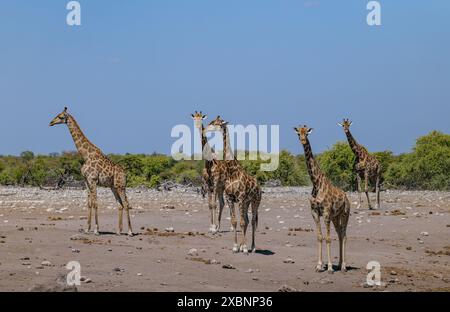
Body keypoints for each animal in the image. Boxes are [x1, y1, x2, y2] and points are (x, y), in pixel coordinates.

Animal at [50, 108, 134, 236]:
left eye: (60, 117)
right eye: (57, 115)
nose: (51, 122)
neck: (85, 155)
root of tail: (125, 173)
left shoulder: (93, 180)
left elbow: (95, 203)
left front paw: (96, 230)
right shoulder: (86, 180)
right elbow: (89, 203)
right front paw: (87, 228)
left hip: (121, 185)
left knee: (126, 203)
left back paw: (130, 231)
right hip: (113, 186)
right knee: (119, 204)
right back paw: (119, 231)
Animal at [207, 116, 262, 254]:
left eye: (215, 123)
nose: (205, 128)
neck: (232, 170)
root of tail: (259, 186)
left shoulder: (241, 197)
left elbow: (241, 222)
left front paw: (245, 248)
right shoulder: (230, 198)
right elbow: (235, 221)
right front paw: (236, 246)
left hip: (255, 201)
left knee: (252, 221)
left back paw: (252, 247)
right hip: (247, 202)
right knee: (247, 220)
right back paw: (243, 246)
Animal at [296, 125, 352, 272]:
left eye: (307, 133)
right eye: (298, 133)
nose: (303, 140)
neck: (316, 183)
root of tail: (346, 197)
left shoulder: (326, 212)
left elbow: (327, 238)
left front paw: (330, 267)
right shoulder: (315, 212)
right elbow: (320, 237)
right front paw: (319, 265)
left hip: (345, 214)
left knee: (344, 235)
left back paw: (343, 266)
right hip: (335, 217)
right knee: (339, 234)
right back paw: (340, 263)